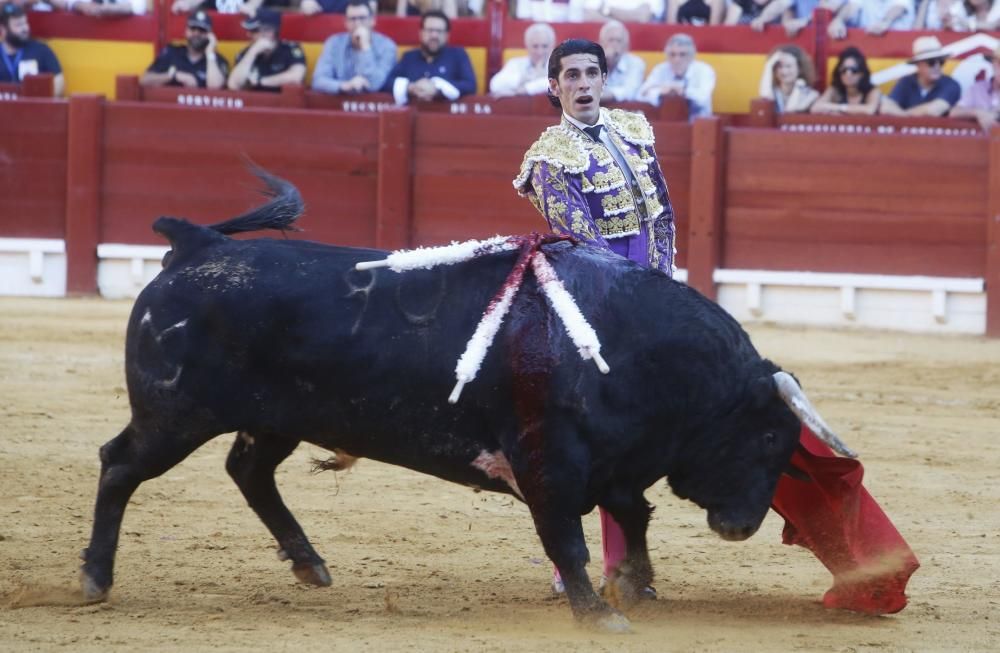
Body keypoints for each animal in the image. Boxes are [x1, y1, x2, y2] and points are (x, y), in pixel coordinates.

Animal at [80, 171, 836, 628]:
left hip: (275, 417)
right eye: (770, 438)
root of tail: (196, 247)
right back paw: (94, 577)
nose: (742, 524)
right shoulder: (548, 463)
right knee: (119, 465)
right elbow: (567, 538)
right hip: (174, 416)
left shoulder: (616, 464)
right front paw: (599, 613)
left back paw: (309, 563)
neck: (633, 346)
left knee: (249, 470)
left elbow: (632, 517)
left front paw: (635, 584)